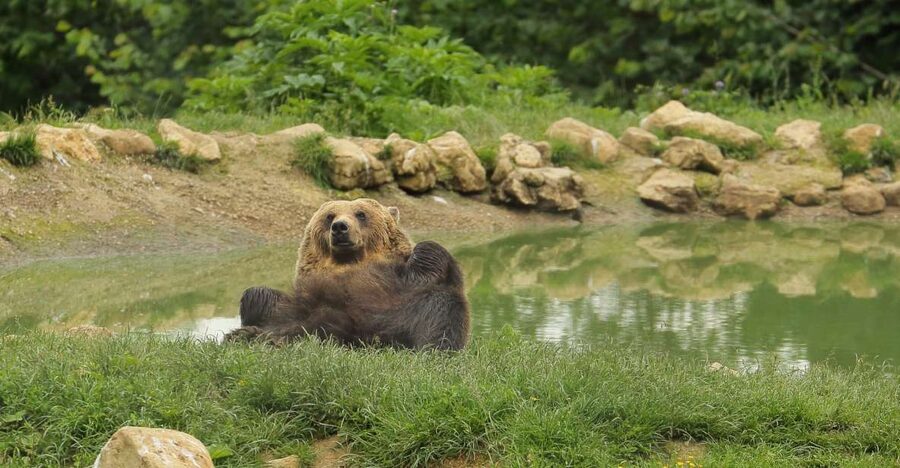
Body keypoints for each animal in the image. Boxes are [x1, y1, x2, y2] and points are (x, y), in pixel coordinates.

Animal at [225, 198, 470, 350]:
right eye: (329, 216)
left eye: (361, 214)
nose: (340, 227)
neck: (349, 263)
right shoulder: (307, 298)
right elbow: (261, 297)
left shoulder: (398, 286)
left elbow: (430, 260)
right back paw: (249, 335)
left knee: (440, 309)